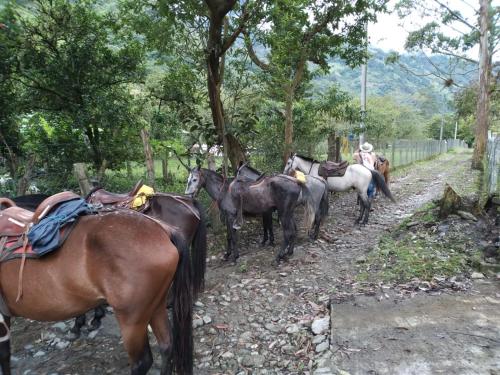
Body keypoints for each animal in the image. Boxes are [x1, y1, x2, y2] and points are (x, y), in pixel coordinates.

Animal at [0, 201, 192, 374]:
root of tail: (162, 229)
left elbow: (4, 354)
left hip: (132, 319)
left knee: (142, 362)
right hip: (156, 305)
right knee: (167, 346)